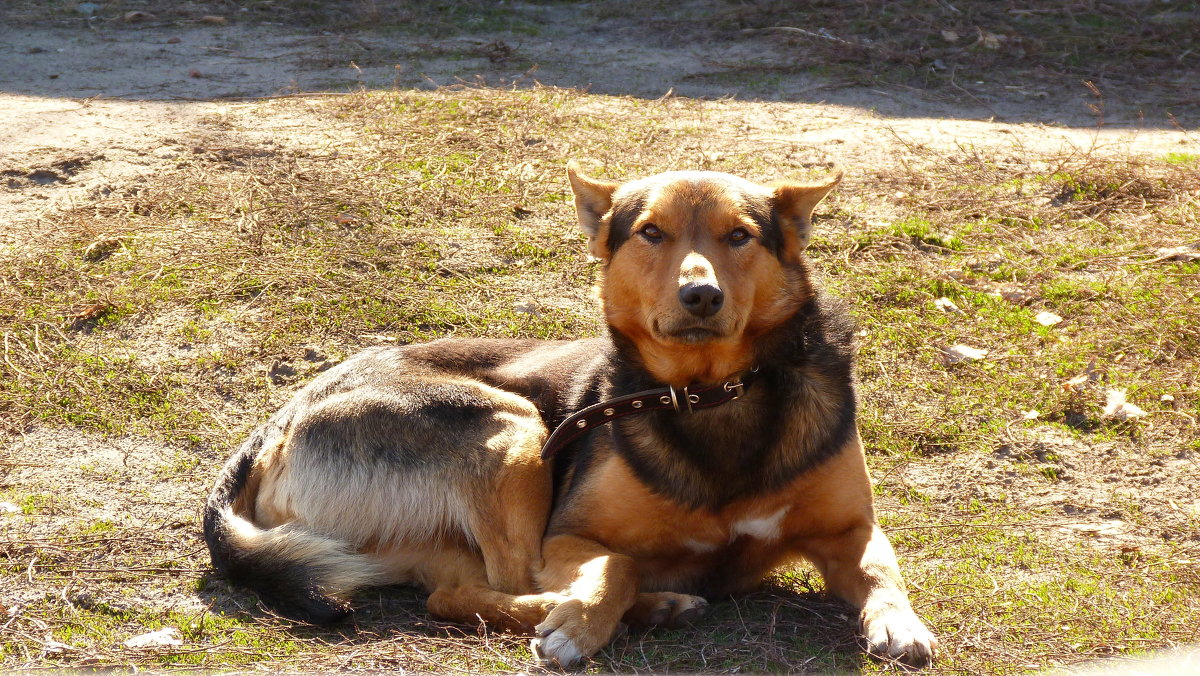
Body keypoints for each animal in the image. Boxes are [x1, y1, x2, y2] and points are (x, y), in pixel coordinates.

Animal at [204, 162, 936, 667]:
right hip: (511, 426)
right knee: (510, 581)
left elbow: (883, 571)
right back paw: (633, 606)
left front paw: (900, 623)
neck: (710, 394)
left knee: (450, 597)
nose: (701, 295)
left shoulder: (849, 530)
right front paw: (581, 622)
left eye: (740, 236)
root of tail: (271, 428)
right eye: (650, 233)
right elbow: (616, 565)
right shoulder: (569, 536)